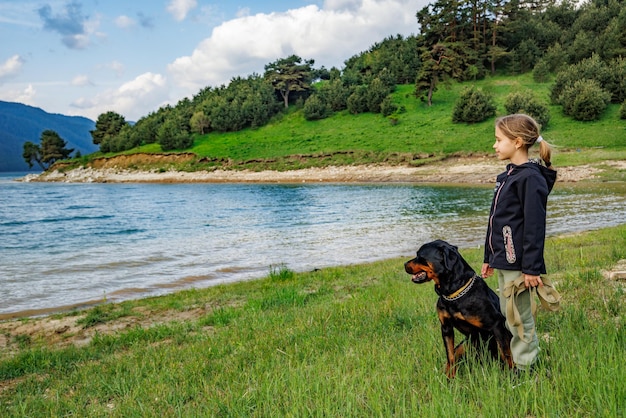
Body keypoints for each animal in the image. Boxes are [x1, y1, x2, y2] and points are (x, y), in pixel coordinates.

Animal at [404, 238, 512, 378]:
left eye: (420, 256)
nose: (404, 264)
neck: (453, 292)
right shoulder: (446, 328)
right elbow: (450, 356)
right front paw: (450, 378)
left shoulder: (497, 324)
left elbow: (506, 354)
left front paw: (512, 376)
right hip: (465, 344)